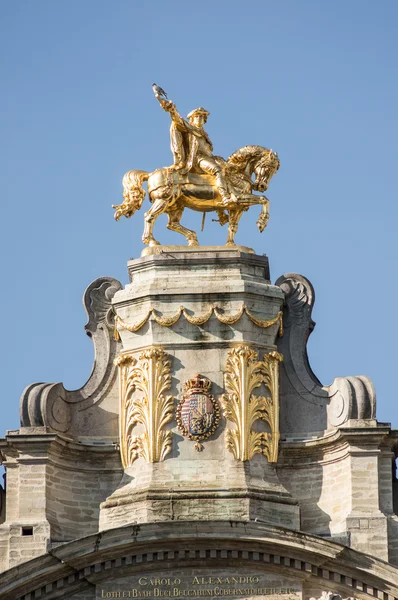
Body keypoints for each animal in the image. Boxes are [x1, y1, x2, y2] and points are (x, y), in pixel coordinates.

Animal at [112, 145, 280, 246]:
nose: (262, 186)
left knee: (172, 224)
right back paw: (152, 242)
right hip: (164, 199)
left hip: (176, 206)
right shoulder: (238, 199)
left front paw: (231, 245)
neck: (237, 173)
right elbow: (265, 200)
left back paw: (192, 239)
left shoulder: (237, 208)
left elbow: (233, 227)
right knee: (149, 216)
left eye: (274, 170)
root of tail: (151, 174)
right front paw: (262, 222)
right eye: (268, 167)